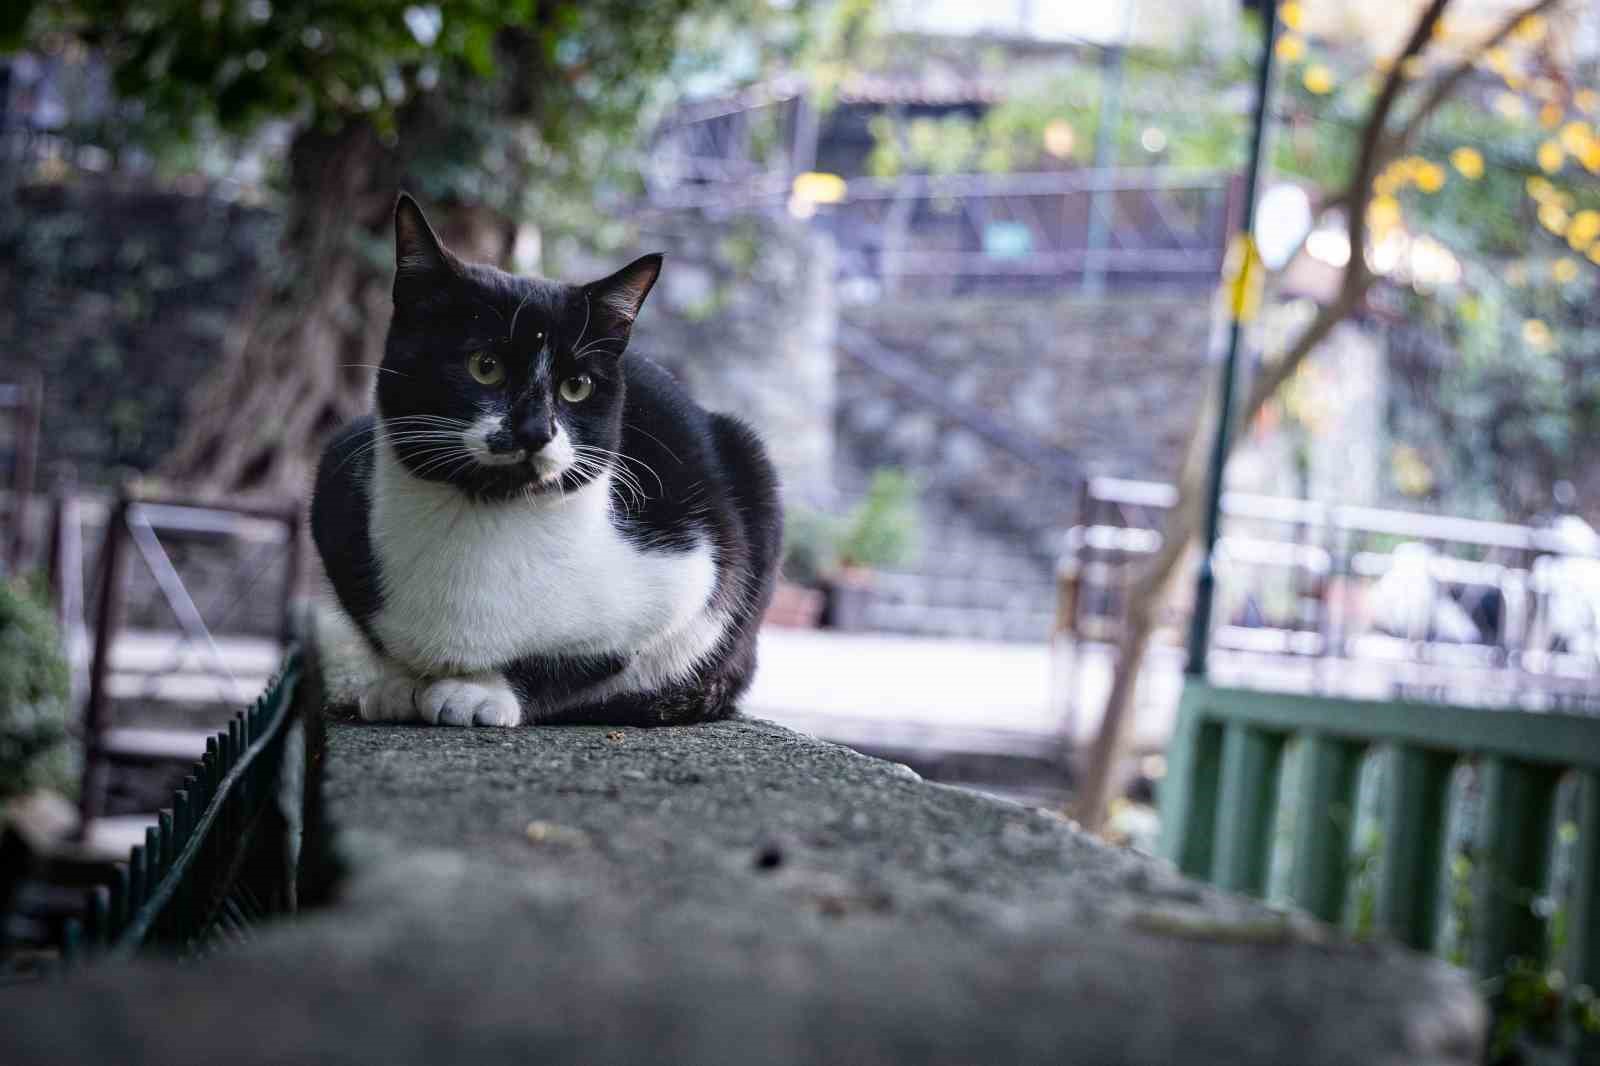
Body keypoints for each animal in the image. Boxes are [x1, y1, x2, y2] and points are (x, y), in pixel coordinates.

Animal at [310, 192, 780, 723]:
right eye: (485, 367)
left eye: (577, 386)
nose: (535, 430)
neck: (487, 514)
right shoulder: (334, 481)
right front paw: (400, 682)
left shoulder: (690, 572)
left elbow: (586, 659)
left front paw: (479, 691)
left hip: (751, 462)